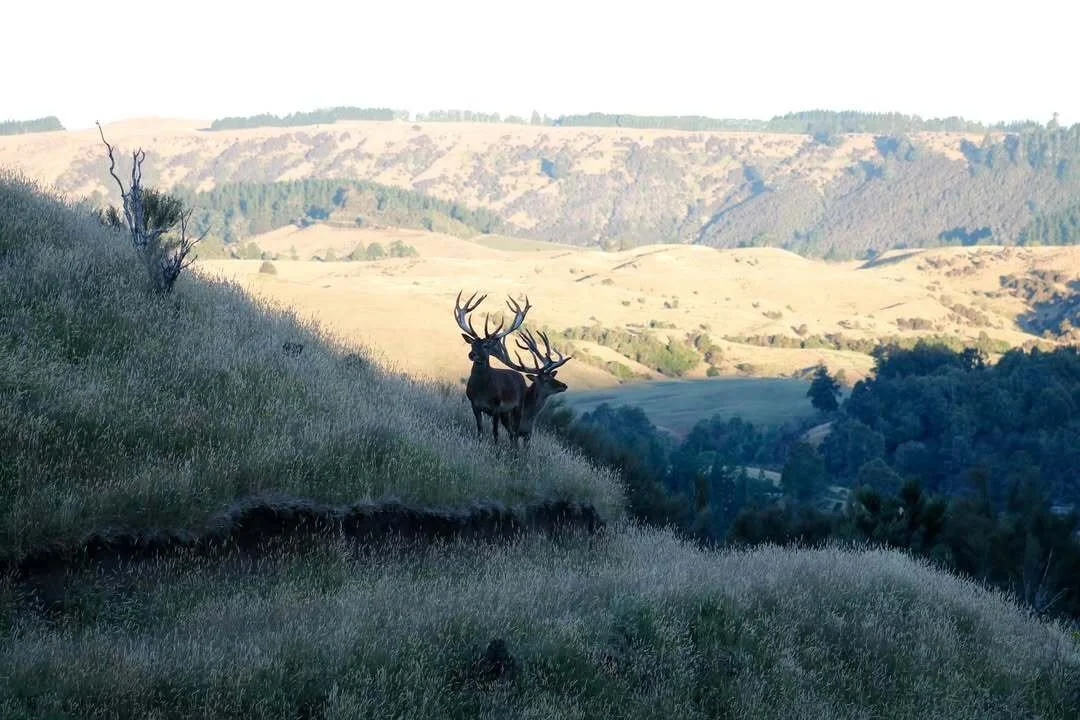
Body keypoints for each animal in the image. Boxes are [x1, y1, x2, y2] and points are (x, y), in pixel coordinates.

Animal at [454, 290, 532, 446]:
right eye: (472, 344)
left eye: (485, 346)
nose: (472, 354)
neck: (482, 390)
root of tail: (520, 376)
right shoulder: (474, 404)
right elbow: (480, 429)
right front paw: (479, 443)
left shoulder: (496, 407)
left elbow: (495, 433)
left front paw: (495, 448)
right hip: (506, 413)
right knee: (511, 432)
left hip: (518, 406)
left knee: (515, 432)